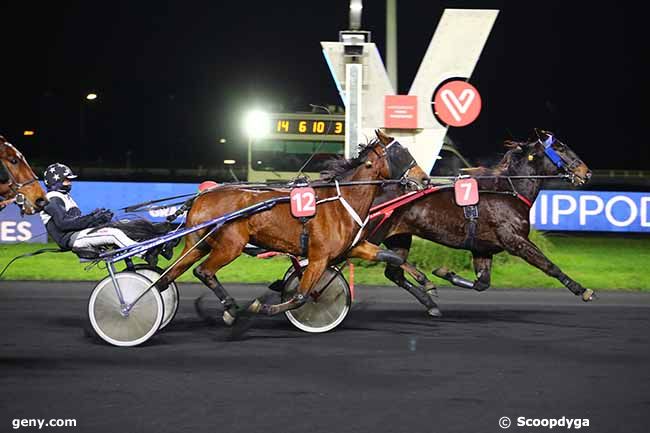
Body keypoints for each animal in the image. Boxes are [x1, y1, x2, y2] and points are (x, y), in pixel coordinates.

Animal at [154, 131, 432, 324]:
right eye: (402, 155)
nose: (425, 179)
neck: (341, 201)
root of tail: (202, 197)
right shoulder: (319, 257)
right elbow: (300, 296)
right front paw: (264, 307)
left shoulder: (355, 247)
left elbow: (393, 256)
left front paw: (426, 282)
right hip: (231, 245)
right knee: (203, 272)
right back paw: (231, 308)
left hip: (197, 245)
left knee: (167, 276)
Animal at [364, 128, 592, 314]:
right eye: (560, 147)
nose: (586, 172)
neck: (509, 191)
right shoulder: (516, 241)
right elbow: (550, 266)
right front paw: (582, 290)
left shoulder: (483, 249)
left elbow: (482, 283)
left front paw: (445, 273)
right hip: (373, 234)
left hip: (399, 237)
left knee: (394, 271)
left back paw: (430, 303)